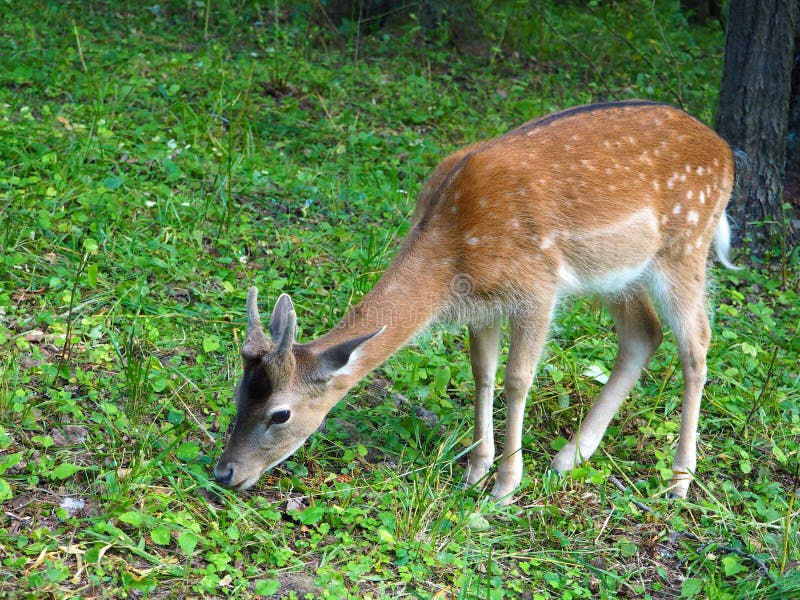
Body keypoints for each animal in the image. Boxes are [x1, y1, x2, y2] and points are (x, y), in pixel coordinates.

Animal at [214, 100, 738, 504]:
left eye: (280, 413)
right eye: (238, 394)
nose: (224, 473)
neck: (454, 250)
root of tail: (727, 153)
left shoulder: (537, 287)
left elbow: (517, 379)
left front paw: (505, 486)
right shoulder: (482, 303)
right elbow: (482, 373)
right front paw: (475, 469)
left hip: (685, 246)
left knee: (697, 346)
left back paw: (679, 482)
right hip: (618, 275)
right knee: (644, 334)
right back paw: (571, 457)